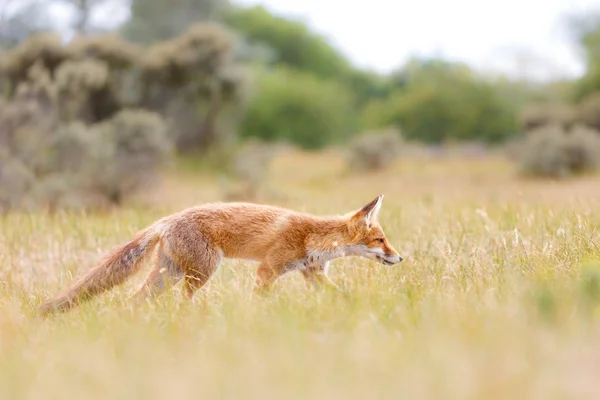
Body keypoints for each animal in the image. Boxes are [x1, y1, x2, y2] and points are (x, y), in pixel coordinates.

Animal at [37, 195, 404, 316]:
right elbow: (260, 299)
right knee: (182, 302)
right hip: (201, 273)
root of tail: (165, 220)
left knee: (134, 300)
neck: (313, 236)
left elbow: (342, 296)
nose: (401, 258)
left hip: (169, 276)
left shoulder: (313, 275)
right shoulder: (267, 270)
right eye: (381, 240)